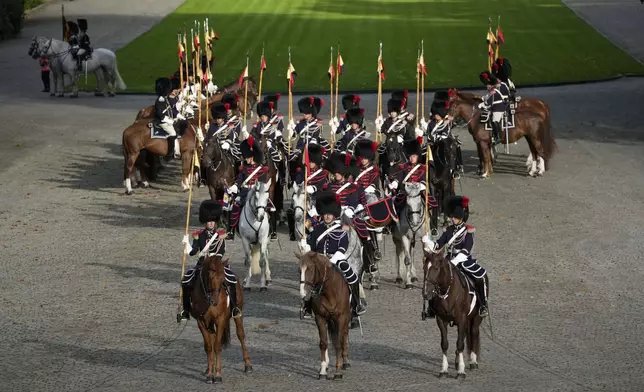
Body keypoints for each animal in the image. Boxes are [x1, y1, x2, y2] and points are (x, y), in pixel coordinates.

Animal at [189, 254, 252, 382]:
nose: (215, 301)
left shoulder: (220, 319)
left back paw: (247, 365)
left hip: (238, 313)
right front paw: (210, 374)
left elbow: (217, 346)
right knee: (212, 339)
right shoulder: (201, 321)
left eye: (223, 278)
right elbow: (209, 346)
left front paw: (217, 375)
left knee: (240, 335)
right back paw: (209, 368)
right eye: (210, 275)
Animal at [296, 251, 352, 380]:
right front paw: (322, 370)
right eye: (299, 270)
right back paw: (327, 364)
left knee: (345, 334)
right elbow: (323, 343)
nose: (303, 293)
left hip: (345, 318)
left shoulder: (341, 318)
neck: (329, 291)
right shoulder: (320, 317)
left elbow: (339, 343)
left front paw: (338, 372)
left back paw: (345, 361)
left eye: (311, 269)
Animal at [420, 250, 486, 378]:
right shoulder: (441, 320)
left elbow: (460, 344)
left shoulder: (462, 319)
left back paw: (473, 361)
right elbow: (445, 344)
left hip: (476, 318)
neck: (447, 291)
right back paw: (457, 362)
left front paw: (461, 371)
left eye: (436, 268)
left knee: (474, 333)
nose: (426, 293)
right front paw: (444, 370)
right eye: (424, 268)